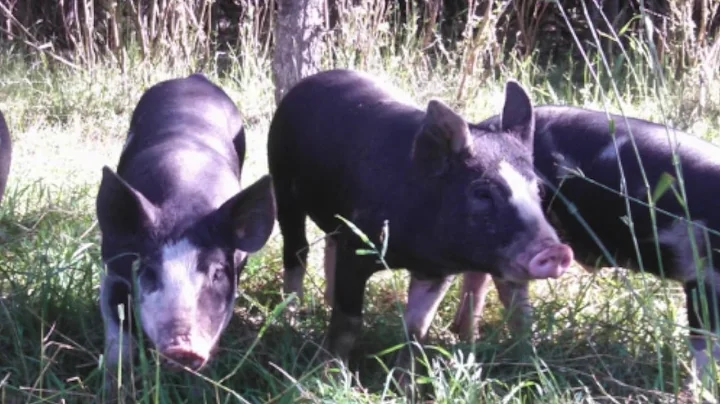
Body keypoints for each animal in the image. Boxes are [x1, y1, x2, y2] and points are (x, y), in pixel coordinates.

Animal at [96, 73, 276, 376]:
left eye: (217, 273)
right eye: (149, 271)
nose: (182, 348)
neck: (185, 206)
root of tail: (191, 78)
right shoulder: (113, 265)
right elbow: (117, 331)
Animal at [266, 69, 573, 379]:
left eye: (538, 190)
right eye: (482, 194)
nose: (556, 250)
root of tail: (308, 82)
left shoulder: (437, 271)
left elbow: (416, 330)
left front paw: (405, 384)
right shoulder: (356, 248)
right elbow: (348, 322)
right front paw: (326, 374)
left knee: (329, 242)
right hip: (282, 185)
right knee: (297, 250)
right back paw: (290, 318)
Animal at [453, 105, 720, 385]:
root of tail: (484, 125)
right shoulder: (705, 276)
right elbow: (705, 344)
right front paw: (701, 388)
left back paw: (469, 340)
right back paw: (525, 352)